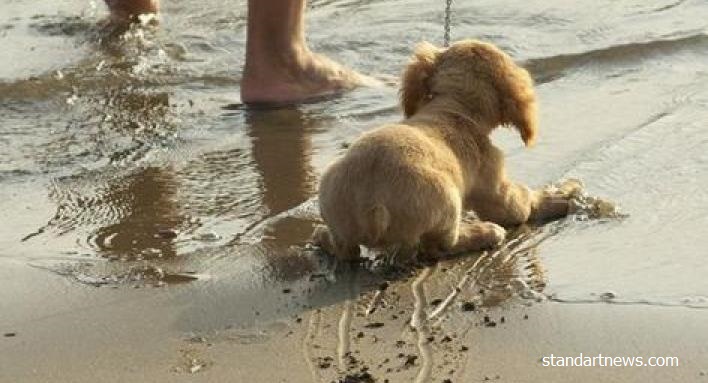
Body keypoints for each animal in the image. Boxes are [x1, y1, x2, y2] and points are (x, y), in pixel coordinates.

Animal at [316, 39, 580, 260]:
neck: (454, 110)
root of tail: (372, 205)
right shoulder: (494, 188)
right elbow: (521, 206)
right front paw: (559, 195)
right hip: (448, 198)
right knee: (440, 246)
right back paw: (485, 232)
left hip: (336, 211)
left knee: (345, 250)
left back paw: (320, 237)